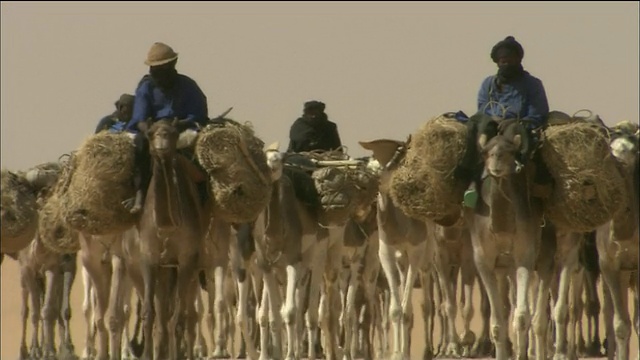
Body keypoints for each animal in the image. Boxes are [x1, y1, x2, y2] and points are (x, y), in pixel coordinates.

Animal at [360, 139, 436, 360]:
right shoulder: (386, 255)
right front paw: (397, 353)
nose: (367, 185)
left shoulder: (415, 252)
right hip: (400, 263)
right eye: (369, 166)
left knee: (425, 304)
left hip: (427, 258)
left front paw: (404, 352)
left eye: (383, 168)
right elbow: (396, 310)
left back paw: (426, 350)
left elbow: (407, 309)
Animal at [460, 121, 544, 360]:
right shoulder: (484, 261)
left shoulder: (525, 255)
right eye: (486, 152)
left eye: (509, 151)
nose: (496, 163)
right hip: (500, 267)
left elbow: (522, 316)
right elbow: (497, 323)